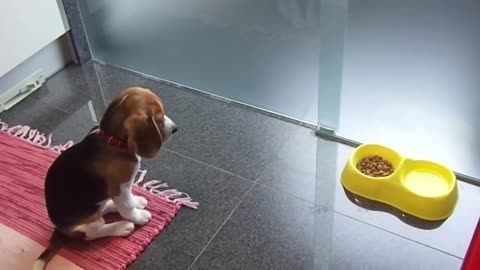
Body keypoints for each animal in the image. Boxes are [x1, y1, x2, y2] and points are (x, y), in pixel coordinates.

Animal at [33, 87, 177, 268]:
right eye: (159, 115)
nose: (175, 128)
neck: (112, 141)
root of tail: (59, 230)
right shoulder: (119, 188)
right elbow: (127, 207)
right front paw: (138, 217)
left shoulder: (125, 187)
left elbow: (129, 199)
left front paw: (136, 202)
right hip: (87, 220)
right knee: (92, 232)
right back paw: (122, 227)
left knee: (103, 209)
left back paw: (112, 206)